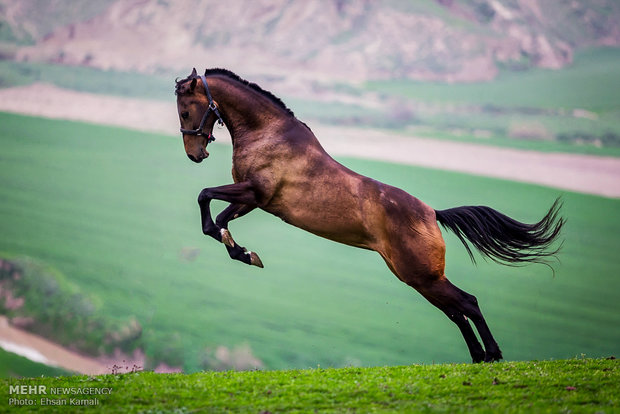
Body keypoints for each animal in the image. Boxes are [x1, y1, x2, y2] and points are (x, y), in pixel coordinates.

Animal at [174, 69, 560, 364]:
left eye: (185, 112)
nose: (194, 155)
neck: (267, 135)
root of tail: (432, 213)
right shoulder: (253, 200)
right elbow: (218, 221)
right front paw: (243, 252)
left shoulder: (254, 193)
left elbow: (206, 199)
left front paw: (242, 251)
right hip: (416, 278)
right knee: (456, 311)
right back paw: (478, 357)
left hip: (422, 275)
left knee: (468, 303)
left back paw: (492, 354)